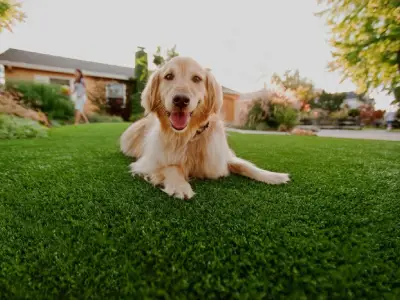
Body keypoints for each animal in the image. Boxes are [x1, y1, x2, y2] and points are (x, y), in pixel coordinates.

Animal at [119, 57, 290, 200]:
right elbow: (172, 166)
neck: (188, 136)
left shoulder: (220, 158)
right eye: (168, 76)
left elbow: (245, 165)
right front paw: (180, 186)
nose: (181, 100)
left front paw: (274, 176)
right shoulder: (148, 162)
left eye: (196, 78)